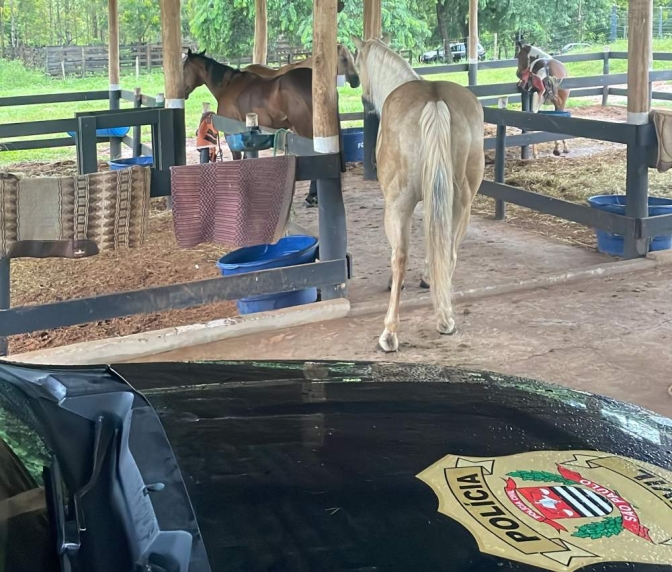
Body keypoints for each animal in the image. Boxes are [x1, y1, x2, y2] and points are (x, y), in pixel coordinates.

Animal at [350, 35, 486, 354]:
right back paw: (445, 318)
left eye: (356, 60)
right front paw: (428, 279)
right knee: (449, 251)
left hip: (398, 205)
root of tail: (435, 102)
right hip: (461, 204)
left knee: (400, 257)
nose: (362, 97)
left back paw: (389, 334)